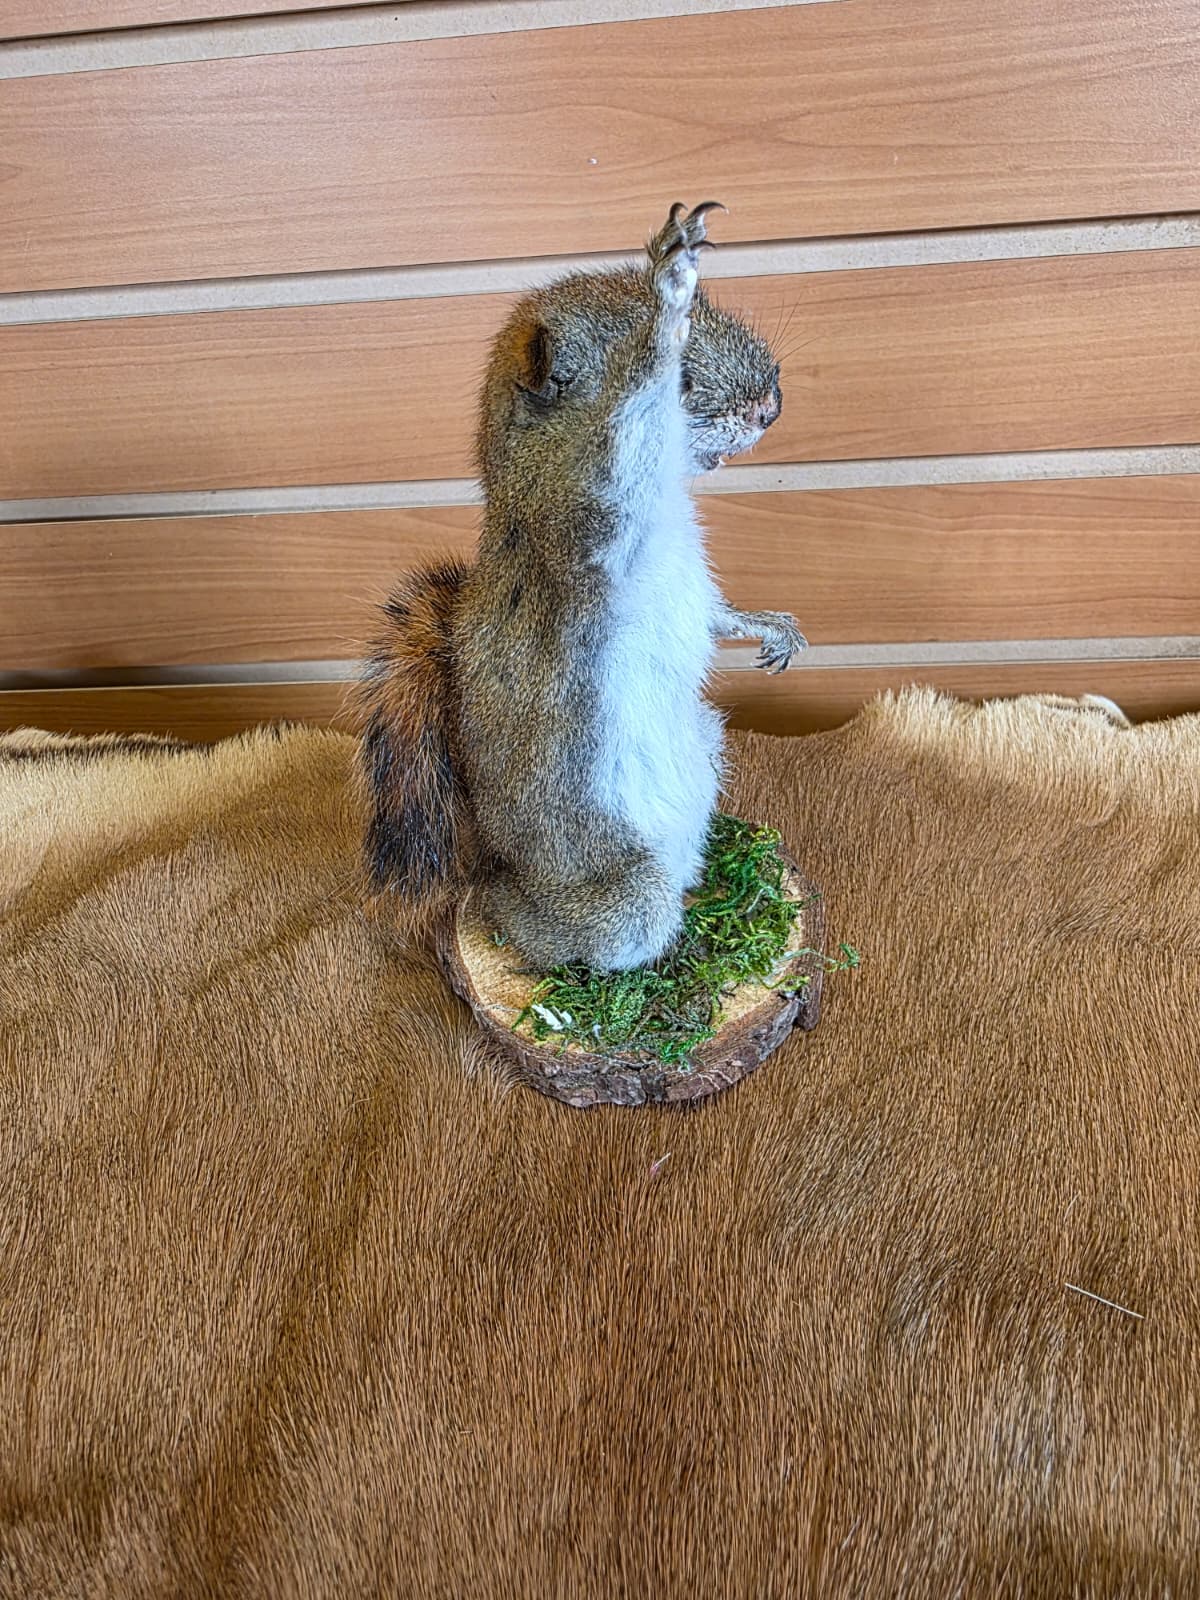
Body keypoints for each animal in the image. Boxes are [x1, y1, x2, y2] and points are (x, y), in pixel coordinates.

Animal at [359, 202, 807, 971]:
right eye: (684, 383)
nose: (770, 406)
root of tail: (498, 871)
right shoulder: (579, 527)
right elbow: (625, 422)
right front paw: (668, 296)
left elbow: (718, 617)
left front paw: (774, 626)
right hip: (618, 897)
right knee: (557, 934)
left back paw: (720, 901)